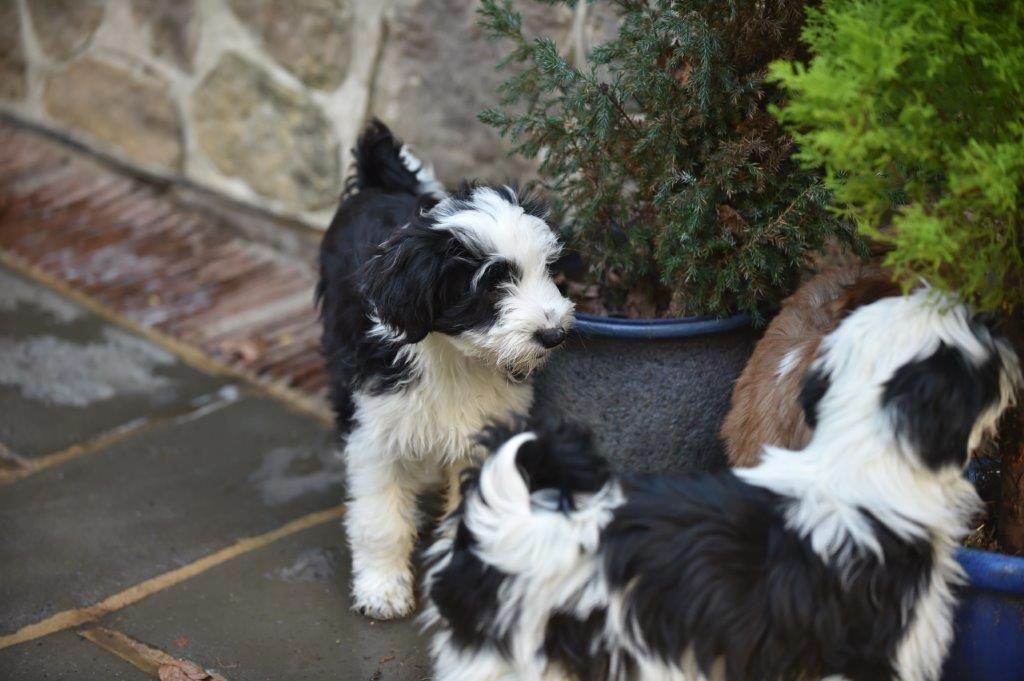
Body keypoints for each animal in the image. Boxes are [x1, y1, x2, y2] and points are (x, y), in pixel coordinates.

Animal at [317, 119, 577, 618]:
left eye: (548, 271)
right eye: (492, 284)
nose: (554, 334)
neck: (457, 357)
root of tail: (379, 179)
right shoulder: (374, 429)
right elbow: (380, 518)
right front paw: (383, 587)